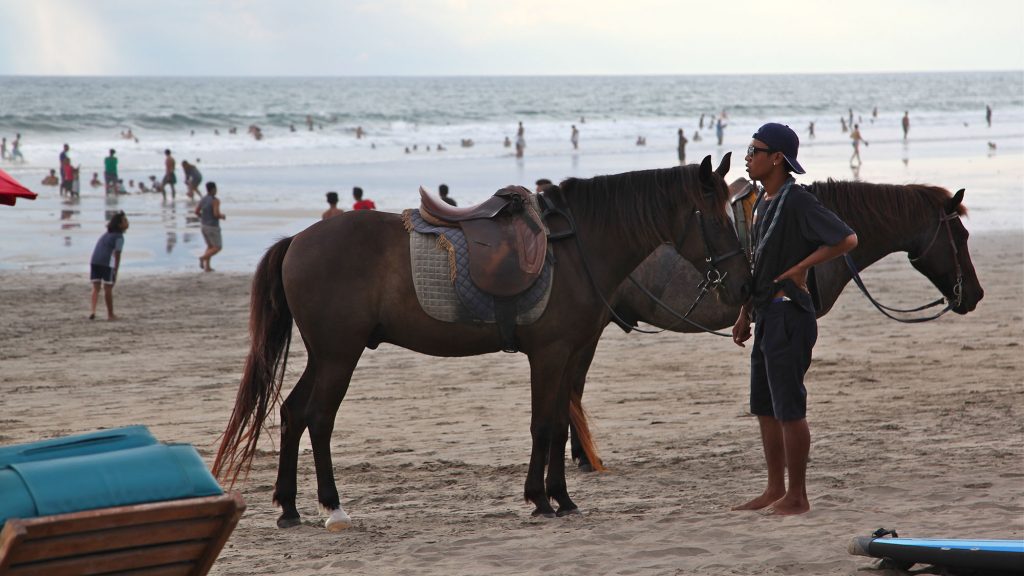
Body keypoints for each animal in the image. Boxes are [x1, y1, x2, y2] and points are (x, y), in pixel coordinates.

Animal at [214, 154, 753, 528]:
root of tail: (298, 241)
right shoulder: (551, 355)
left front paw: (562, 497)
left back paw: (289, 507)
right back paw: (332, 506)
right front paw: (541, 499)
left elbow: (560, 426)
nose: (743, 286)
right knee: (318, 419)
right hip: (338, 355)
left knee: (292, 413)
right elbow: (544, 426)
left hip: (328, 355)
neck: (577, 247)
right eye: (717, 218)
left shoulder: (571, 355)